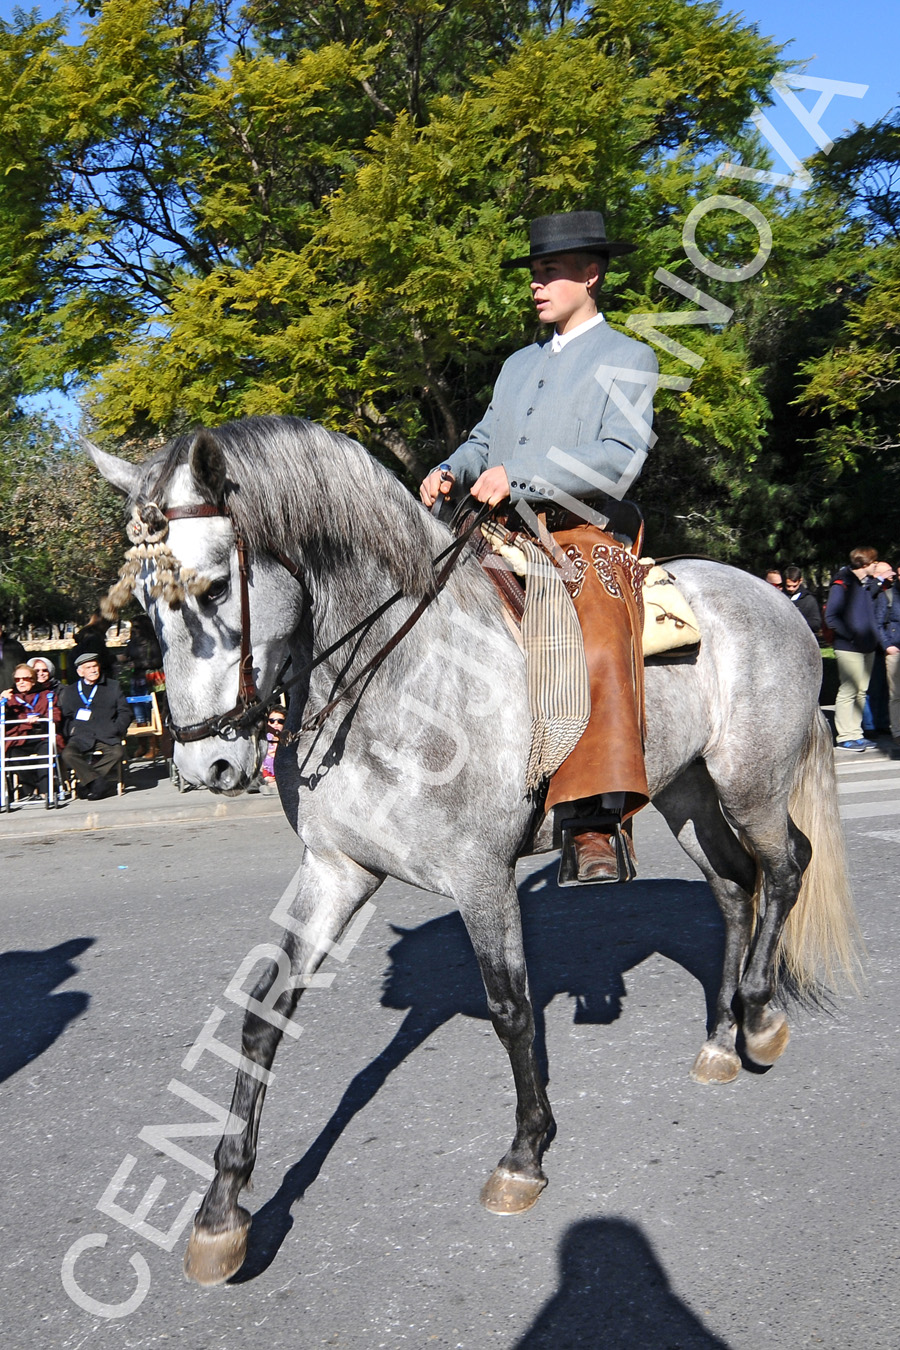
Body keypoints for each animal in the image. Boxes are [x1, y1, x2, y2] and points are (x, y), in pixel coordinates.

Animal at [89, 418, 858, 1285]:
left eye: (216, 587)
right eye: (142, 604)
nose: (203, 767)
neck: (393, 681)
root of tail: (775, 596)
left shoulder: (480, 876)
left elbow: (511, 1009)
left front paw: (524, 1155)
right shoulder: (336, 872)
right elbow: (262, 1014)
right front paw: (222, 1210)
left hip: (750, 784)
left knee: (785, 867)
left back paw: (759, 1017)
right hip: (686, 794)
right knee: (733, 889)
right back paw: (722, 1041)